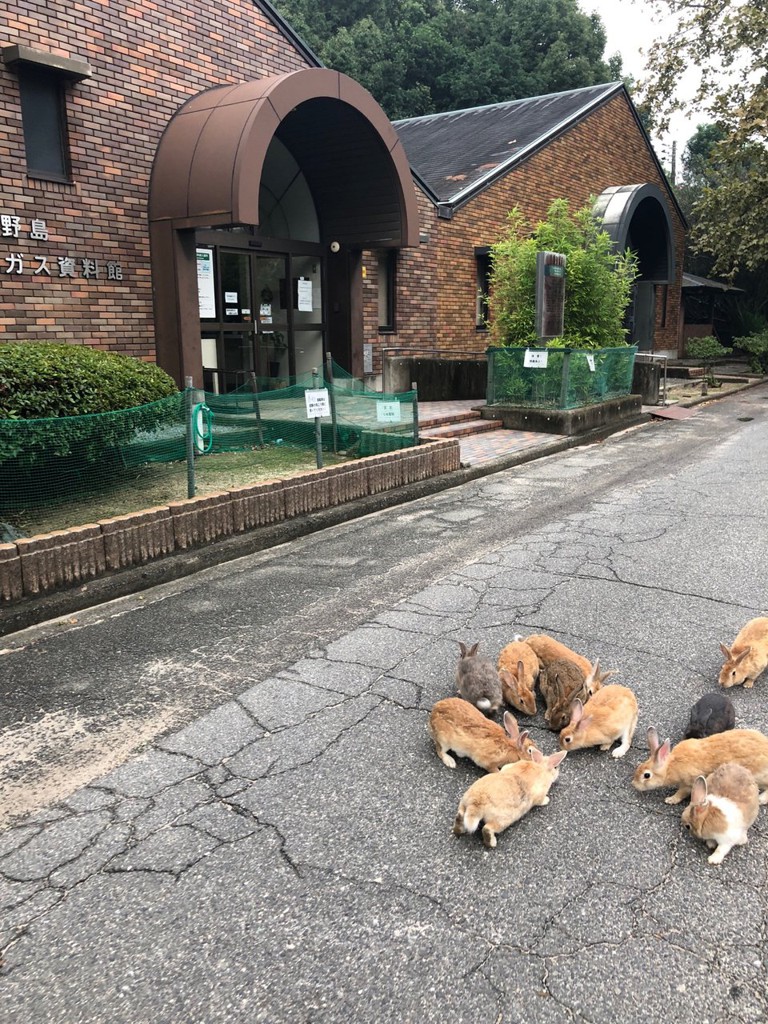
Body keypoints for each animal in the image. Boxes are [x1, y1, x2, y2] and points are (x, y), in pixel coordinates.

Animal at [634, 724, 768, 802]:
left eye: (646, 775)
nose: (634, 785)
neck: (670, 767)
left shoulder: (688, 783)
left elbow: (681, 793)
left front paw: (670, 800)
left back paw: (761, 799)